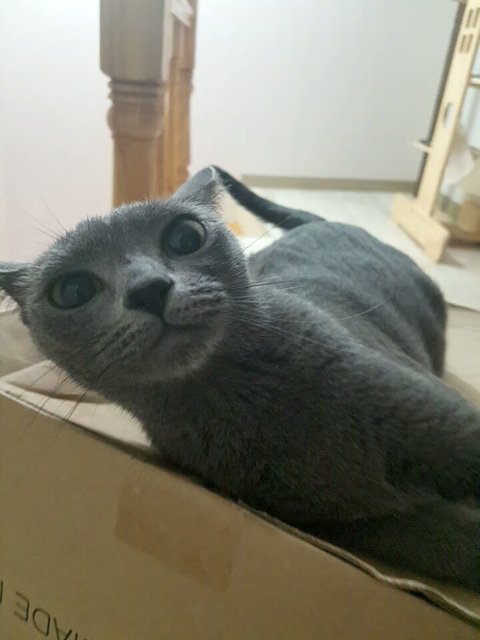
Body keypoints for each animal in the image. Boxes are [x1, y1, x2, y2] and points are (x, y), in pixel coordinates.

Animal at [1, 166, 480, 591]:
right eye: (73, 291)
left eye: (185, 237)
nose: (149, 288)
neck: (242, 405)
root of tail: (324, 221)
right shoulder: (358, 522)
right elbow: (448, 541)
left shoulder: (434, 418)